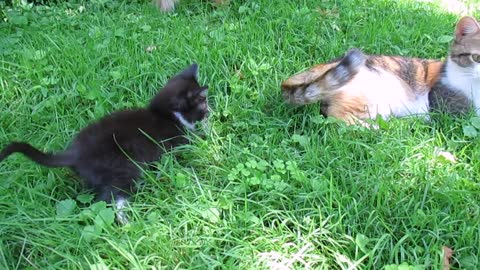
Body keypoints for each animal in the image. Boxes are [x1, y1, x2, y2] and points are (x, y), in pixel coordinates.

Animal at [0, 63, 208, 224]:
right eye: (203, 103)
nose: (209, 112)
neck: (165, 113)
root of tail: (75, 153)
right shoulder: (179, 138)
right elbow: (196, 139)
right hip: (124, 169)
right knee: (112, 200)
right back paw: (128, 223)